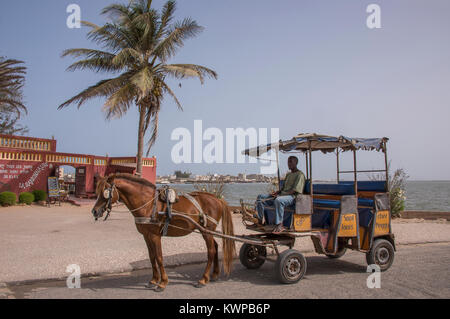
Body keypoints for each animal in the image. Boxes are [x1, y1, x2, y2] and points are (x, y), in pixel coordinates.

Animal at [90, 175, 236, 292]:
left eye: (105, 192)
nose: (95, 211)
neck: (148, 204)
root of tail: (217, 198)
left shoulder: (155, 236)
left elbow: (159, 258)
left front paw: (163, 283)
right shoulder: (146, 236)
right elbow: (152, 257)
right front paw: (154, 280)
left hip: (207, 231)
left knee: (211, 251)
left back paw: (203, 279)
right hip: (206, 231)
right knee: (215, 247)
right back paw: (214, 274)